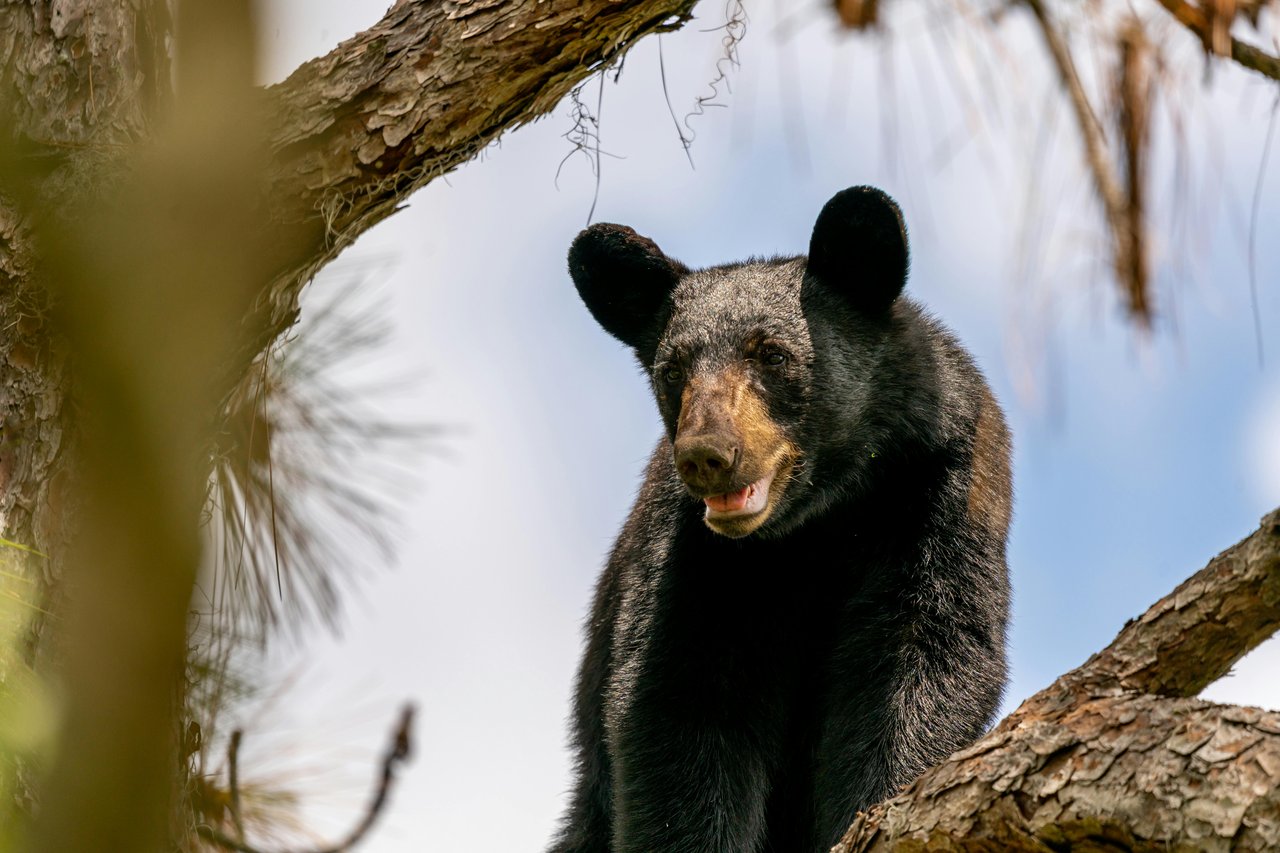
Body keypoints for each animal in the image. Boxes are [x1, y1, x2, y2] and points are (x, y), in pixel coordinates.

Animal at [550, 188, 1008, 850]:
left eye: (772, 353)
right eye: (673, 370)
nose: (707, 455)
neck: (816, 522)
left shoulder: (939, 492)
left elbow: (922, 663)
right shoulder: (688, 552)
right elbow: (678, 707)